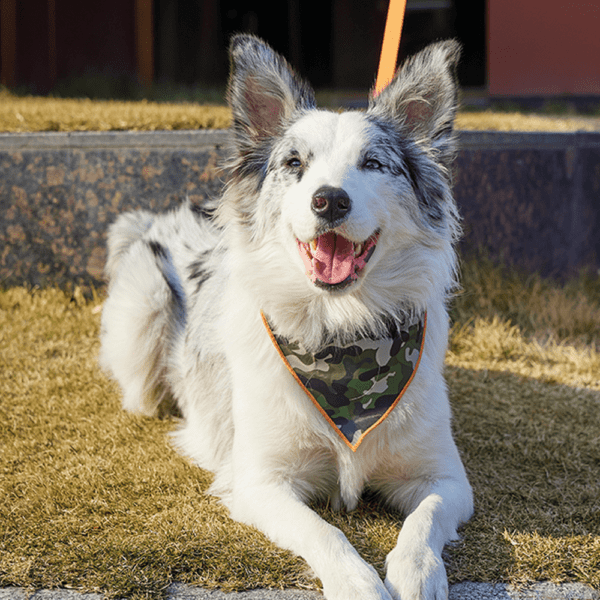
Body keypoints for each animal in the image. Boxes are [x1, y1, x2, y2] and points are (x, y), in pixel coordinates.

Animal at [99, 34, 474, 600]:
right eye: (295, 162)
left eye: (373, 164)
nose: (329, 200)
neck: (339, 325)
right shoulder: (261, 481)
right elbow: (325, 532)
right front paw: (358, 584)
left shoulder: (445, 478)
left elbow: (423, 520)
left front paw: (419, 571)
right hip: (145, 306)